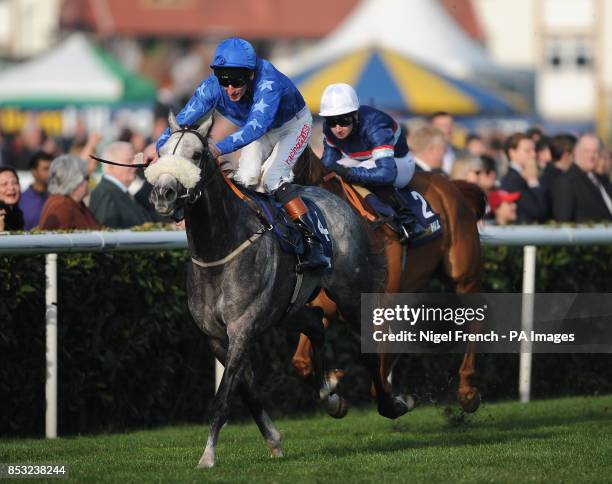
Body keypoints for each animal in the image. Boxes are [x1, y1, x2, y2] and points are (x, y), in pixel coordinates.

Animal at [146, 113, 408, 468]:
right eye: (160, 154)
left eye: (196, 155)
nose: (164, 193)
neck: (220, 248)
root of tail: (338, 201)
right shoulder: (216, 335)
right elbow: (247, 392)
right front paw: (272, 439)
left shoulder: (243, 328)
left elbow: (224, 396)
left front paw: (207, 456)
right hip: (287, 308)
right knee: (315, 325)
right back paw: (330, 396)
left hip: (351, 293)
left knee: (367, 347)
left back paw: (391, 404)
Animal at [292, 149, 488, 414]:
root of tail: (451, 184)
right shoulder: (325, 307)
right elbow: (300, 362)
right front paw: (333, 385)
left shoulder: (379, 307)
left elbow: (378, 381)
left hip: (463, 276)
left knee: (476, 316)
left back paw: (467, 392)